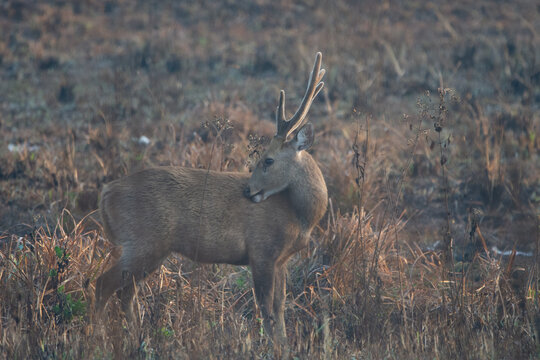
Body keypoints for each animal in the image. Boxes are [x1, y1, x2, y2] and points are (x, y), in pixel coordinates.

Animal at [95, 51, 326, 344]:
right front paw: (271, 347)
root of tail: (106, 194)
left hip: (148, 248)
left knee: (126, 291)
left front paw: (284, 345)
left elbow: (280, 307)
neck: (300, 216)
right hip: (143, 242)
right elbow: (266, 309)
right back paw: (94, 336)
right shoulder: (261, 251)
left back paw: (137, 336)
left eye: (268, 160)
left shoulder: (281, 260)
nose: (248, 190)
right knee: (103, 284)